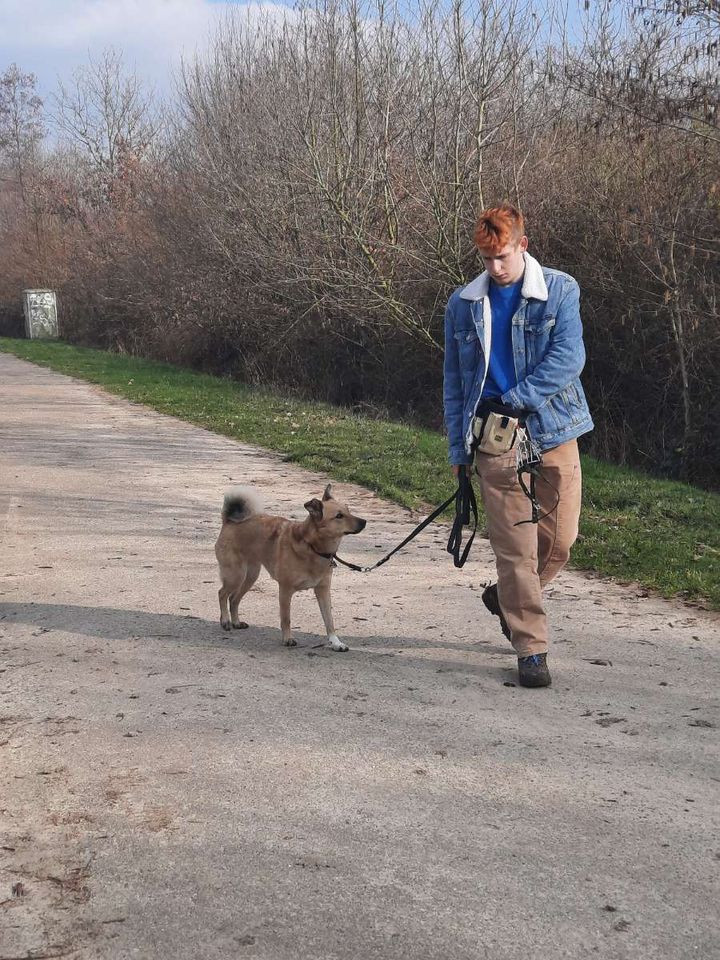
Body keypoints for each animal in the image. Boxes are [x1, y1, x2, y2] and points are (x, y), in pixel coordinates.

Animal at [214, 484, 366, 648]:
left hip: (250, 576)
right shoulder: (285, 591)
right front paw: (287, 638)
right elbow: (286, 618)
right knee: (222, 594)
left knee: (234, 599)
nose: (364, 521)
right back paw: (225, 621)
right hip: (236, 575)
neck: (312, 546)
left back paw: (236, 622)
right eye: (339, 516)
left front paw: (336, 642)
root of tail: (229, 521)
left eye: (348, 509)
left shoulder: (323, 591)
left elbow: (329, 620)